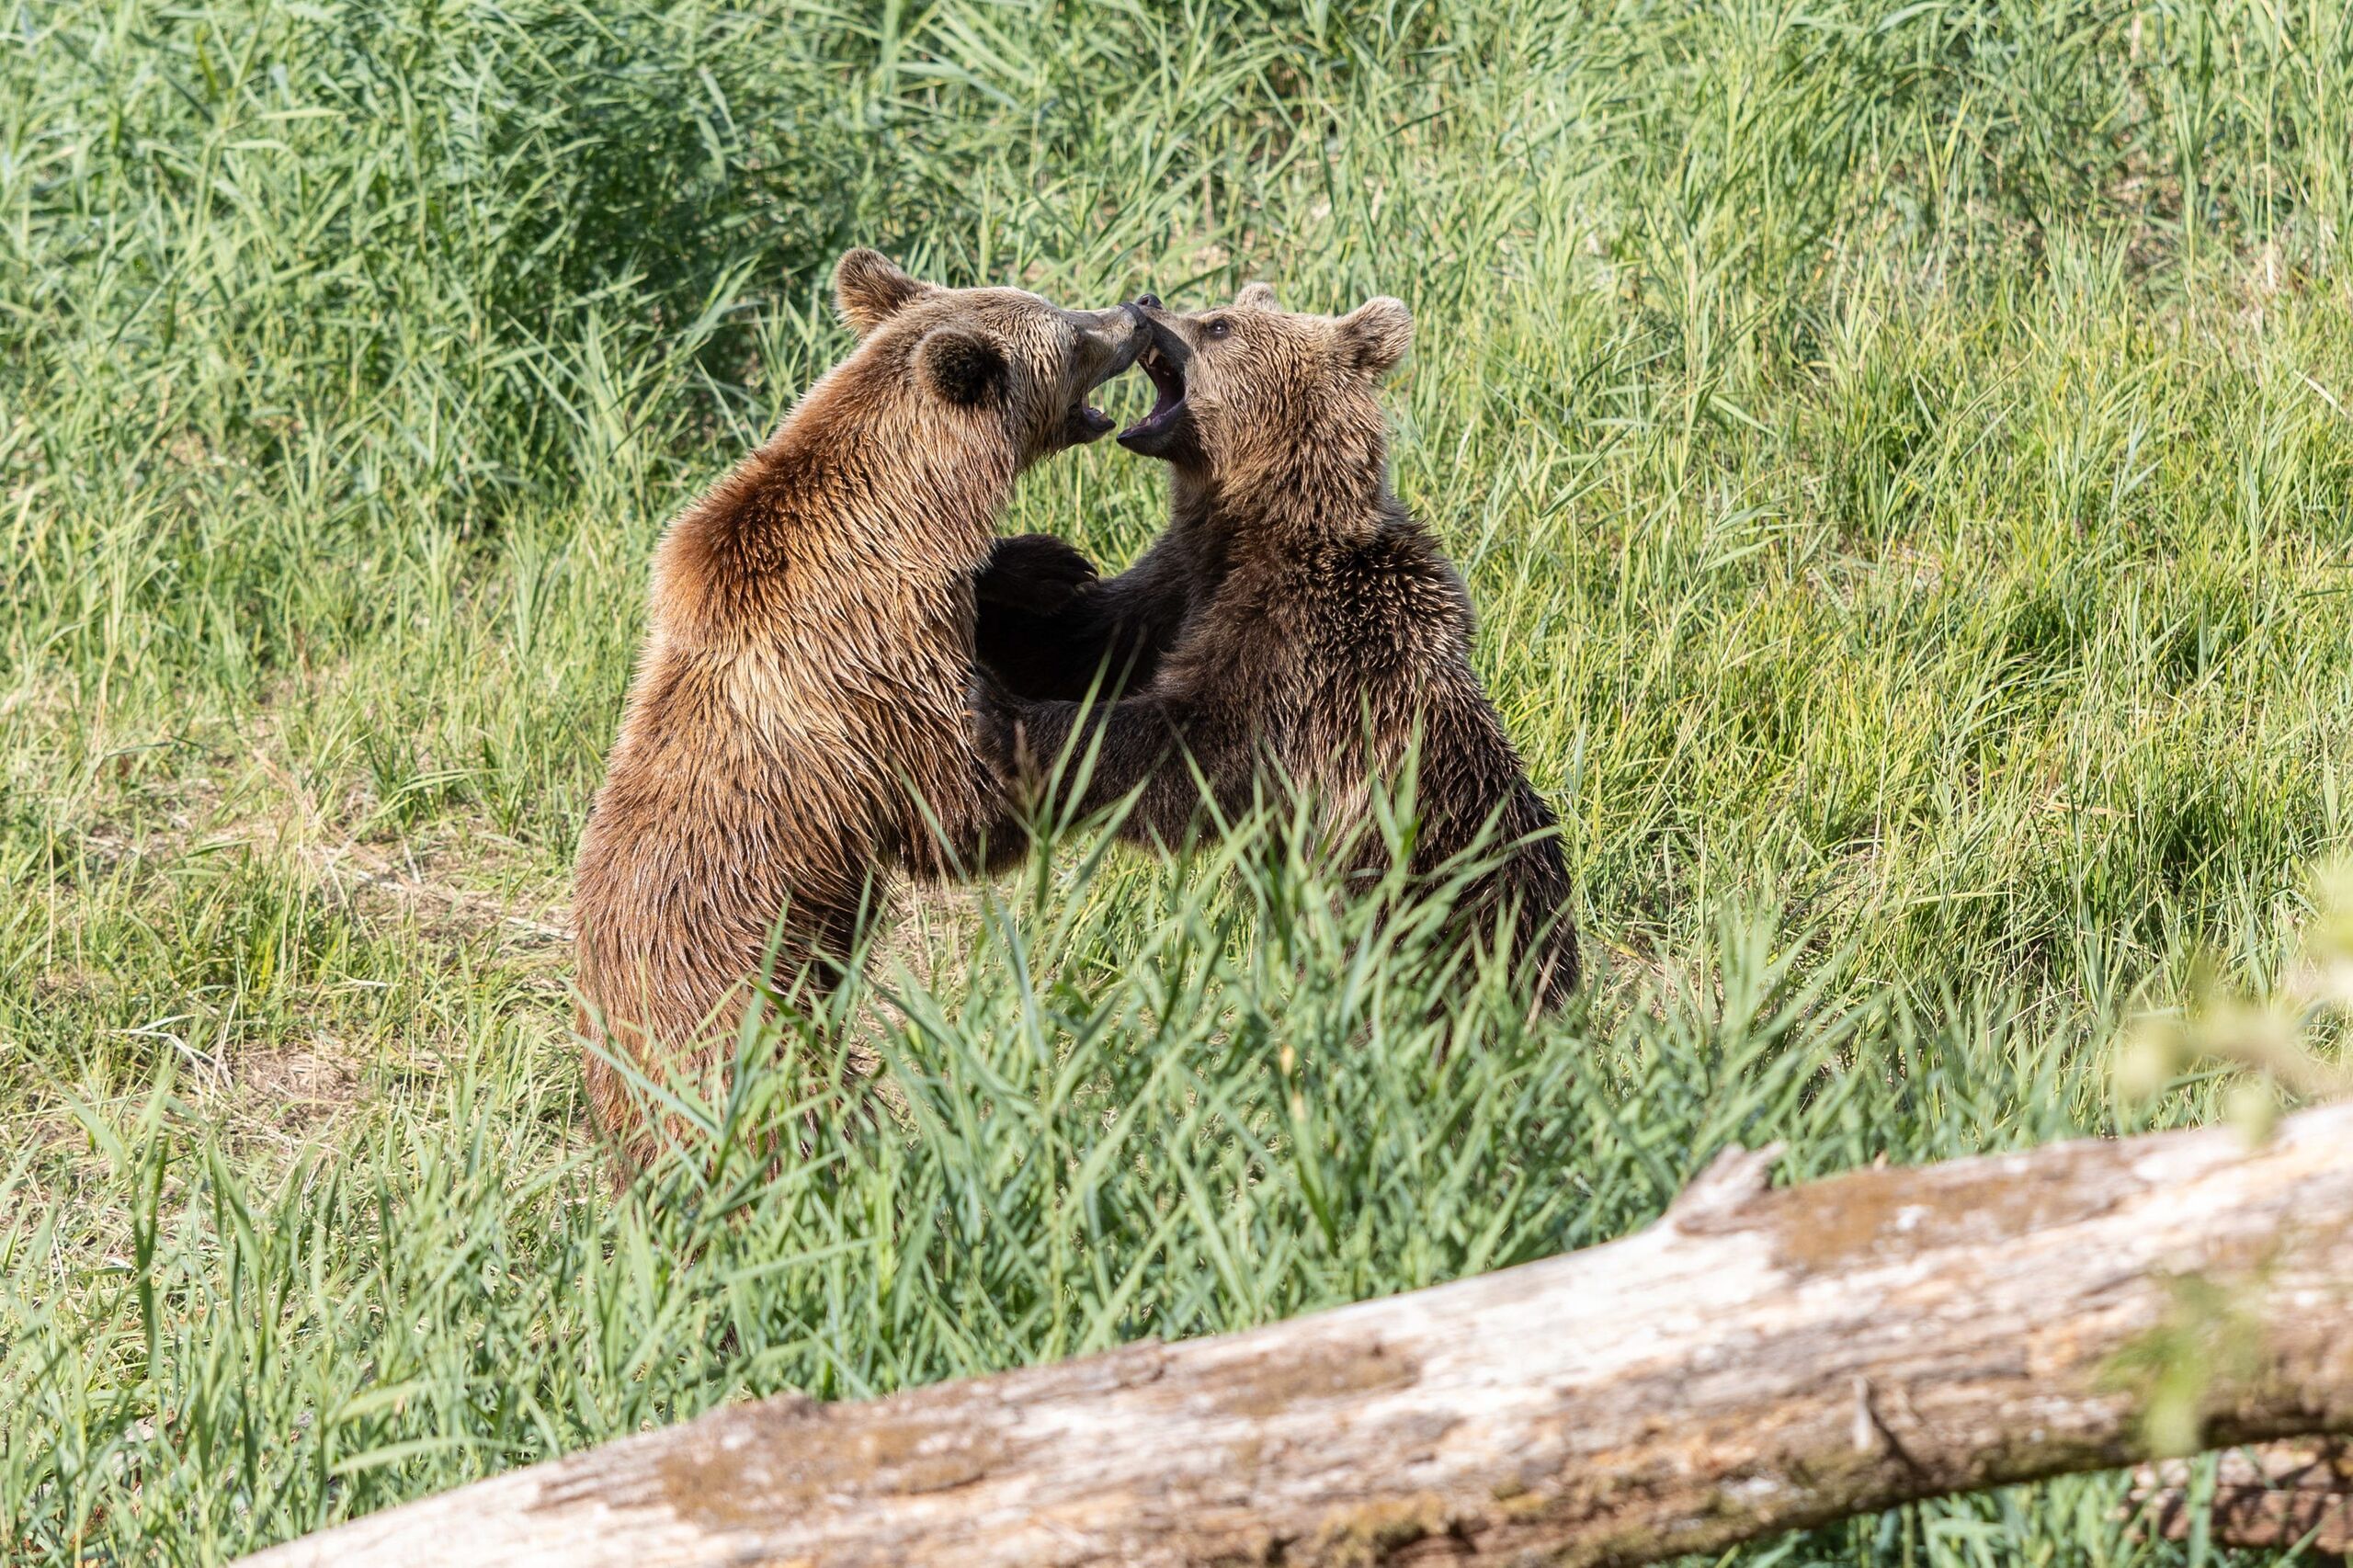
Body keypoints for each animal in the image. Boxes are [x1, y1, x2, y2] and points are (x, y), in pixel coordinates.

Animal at [573, 249, 1145, 1170]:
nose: (1137, 308)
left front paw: (1045, 563)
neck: (909, 517)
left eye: (1059, 305)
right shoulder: (877, 665)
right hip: (748, 1013)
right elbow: (961, 815)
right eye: (1070, 332)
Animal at [969, 283, 1580, 1012]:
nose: (1147, 300)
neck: (1262, 523)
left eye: (1218, 325)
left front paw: (1001, 715)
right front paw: (1011, 578)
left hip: (1443, 905)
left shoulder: (1304, 648)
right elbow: (1080, 643)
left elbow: (1188, 749)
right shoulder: (1180, 586)